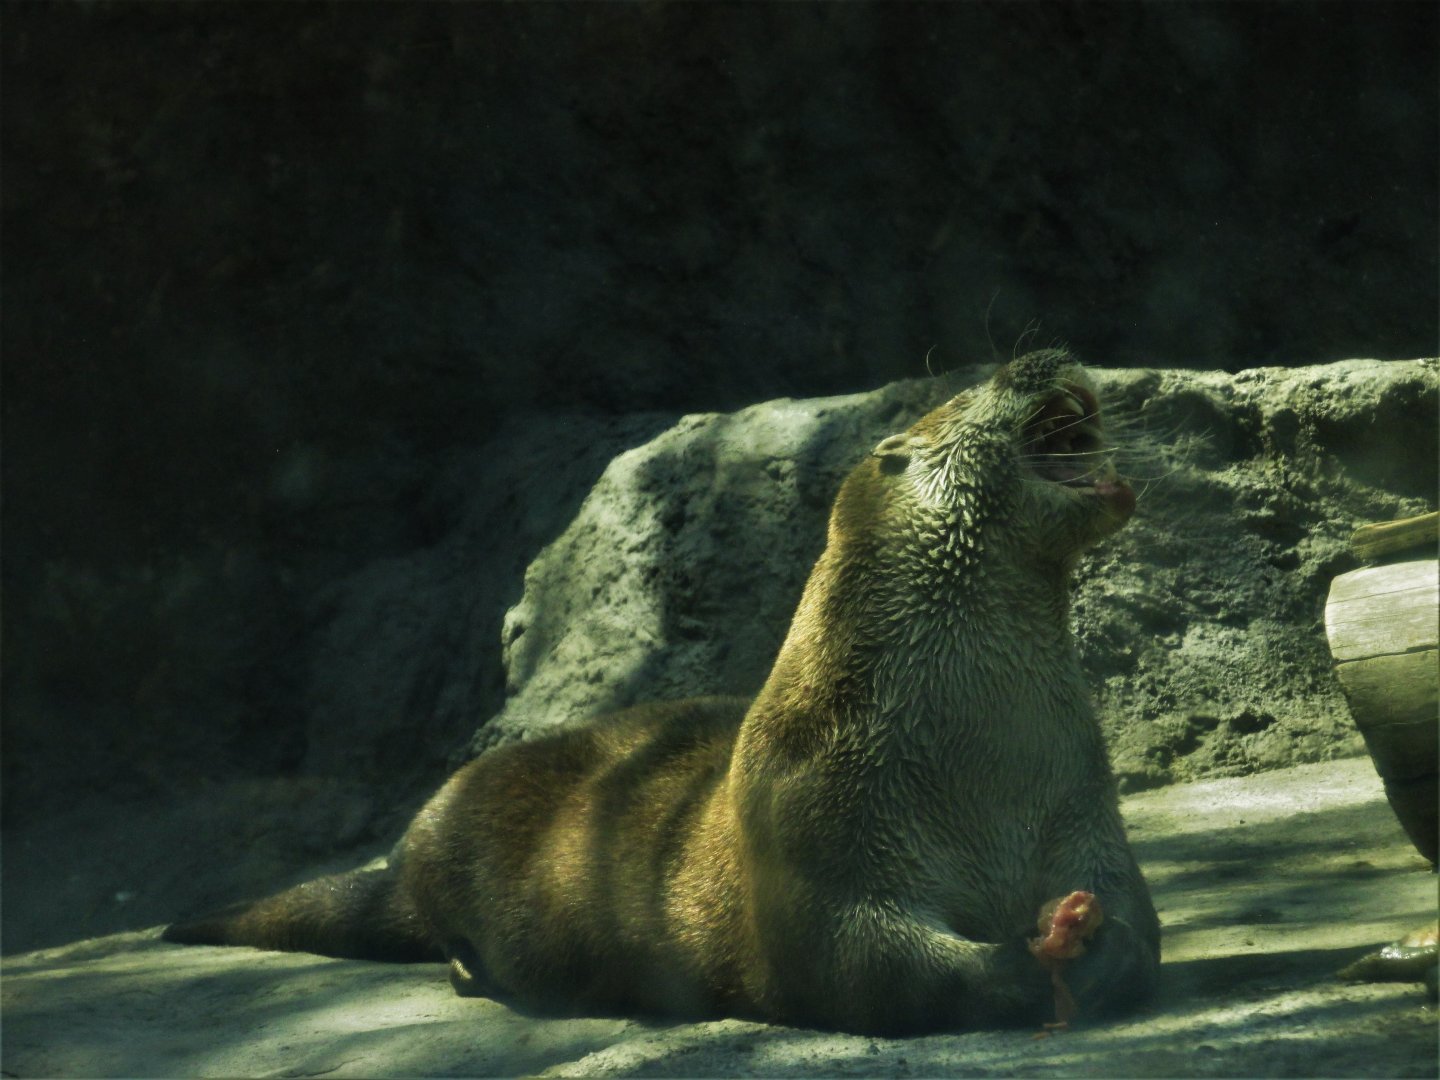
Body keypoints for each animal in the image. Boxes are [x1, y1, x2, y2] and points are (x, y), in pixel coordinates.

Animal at [165, 349, 1160, 1035]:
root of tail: (415, 841)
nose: (1047, 351)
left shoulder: (1080, 801)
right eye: (976, 384)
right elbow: (869, 962)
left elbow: (1132, 909)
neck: (981, 755)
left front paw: (1101, 948)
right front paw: (1025, 969)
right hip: (458, 867)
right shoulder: (819, 830)